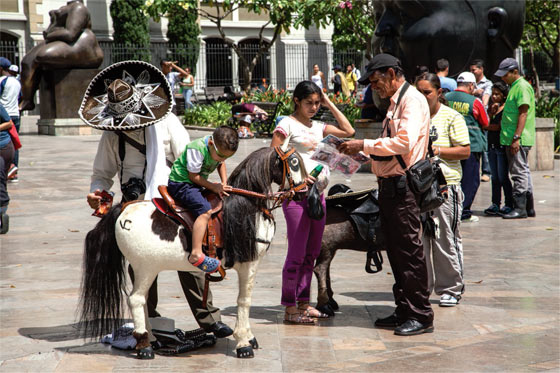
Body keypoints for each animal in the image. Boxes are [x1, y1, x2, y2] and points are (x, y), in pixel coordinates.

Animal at [78, 146, 306, 358]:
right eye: (294, 163)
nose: (305, 190)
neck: (246, 206)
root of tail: (124, 209)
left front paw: (248, 337)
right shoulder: (248, 264)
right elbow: (244, 301)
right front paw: (243, 343)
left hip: (142, 269)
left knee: (143, 302)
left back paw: (151, 340)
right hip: (145, 268)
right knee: (136, 300)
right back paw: (144, 346)